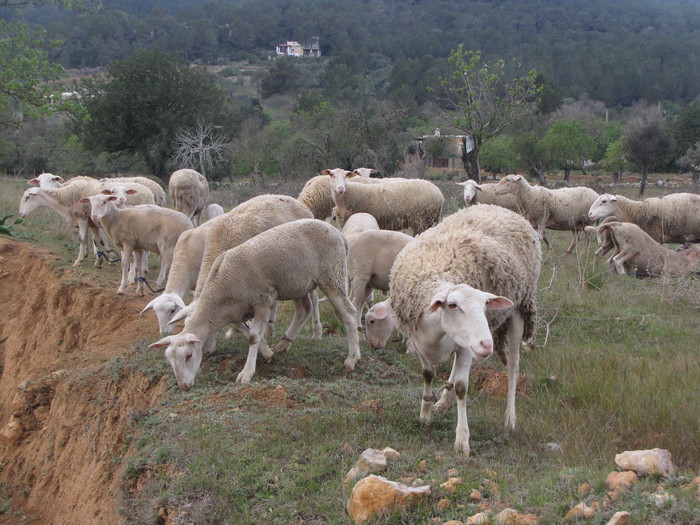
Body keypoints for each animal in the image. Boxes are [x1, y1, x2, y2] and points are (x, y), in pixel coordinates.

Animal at [151, 217, 364, 388]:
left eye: (188, 355)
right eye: (170, 360)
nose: (184, 386)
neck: (219, 293)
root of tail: (339, 234)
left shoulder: (262, 299)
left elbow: (253, 336)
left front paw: (247, 372)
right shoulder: (236, 311)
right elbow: (246, 331)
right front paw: (268, 352)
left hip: (332, 275)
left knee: (348, 313)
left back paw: (352, 359)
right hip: (297, 282)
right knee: (304, 309)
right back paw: (282, 345)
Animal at [388, 203, 540, 452]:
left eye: (485, 305)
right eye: (452, 304)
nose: (486, 344)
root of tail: (498, 207)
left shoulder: (466, 348)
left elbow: (461, 387)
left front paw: (462, 440)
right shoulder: (419, 342)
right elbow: (428, 374)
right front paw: (425, 415)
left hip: (519, 309)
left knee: (513, 367)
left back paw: (510, 418)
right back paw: (442, 402)